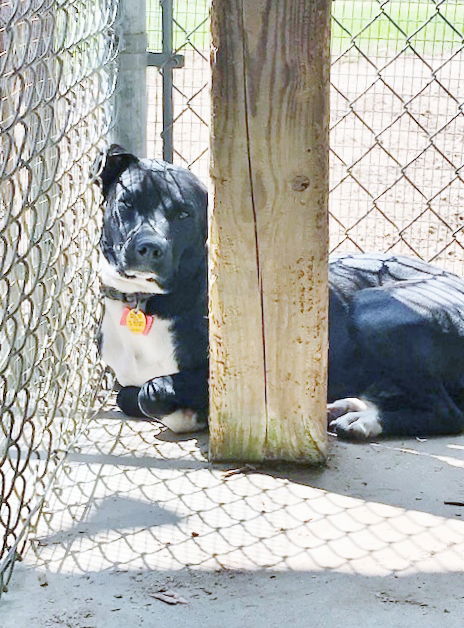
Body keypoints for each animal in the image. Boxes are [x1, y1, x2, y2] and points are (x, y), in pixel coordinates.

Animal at [96, 146, 464, 442]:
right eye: (127, 202)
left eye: (183, 213)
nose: (149, 247)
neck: (146, 302)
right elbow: (126, 396)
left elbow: (151, 392)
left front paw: (188, 413)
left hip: (373, 311)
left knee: (448, 412)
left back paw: (365, 421)